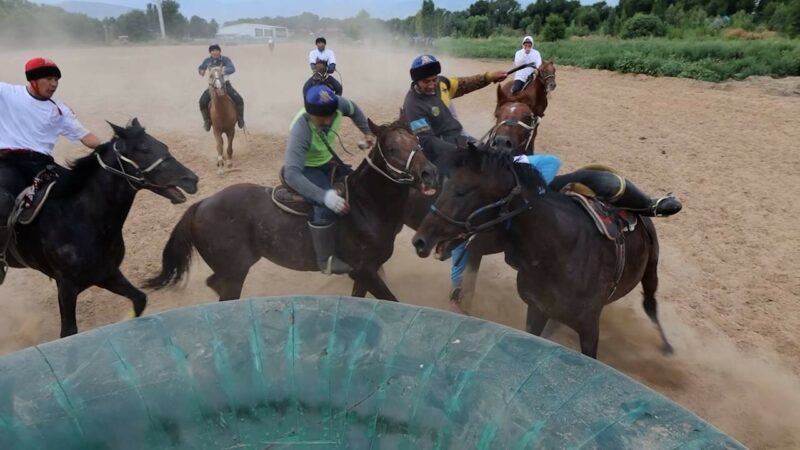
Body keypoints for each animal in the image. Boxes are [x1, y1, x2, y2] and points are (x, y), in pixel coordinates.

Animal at [2, 119, 198, 338]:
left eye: (163, 145)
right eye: (145, 148)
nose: (191, 180)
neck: (80, 220)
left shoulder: (107, 273)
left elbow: (139, 299)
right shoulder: (67, 287)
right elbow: (69, 332)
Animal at [147, 118, 440, 302]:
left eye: (417, 141)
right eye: (391, 148)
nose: (430, 173)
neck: (366, 205)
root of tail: (201, 205)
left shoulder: (366, 273)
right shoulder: (364, 271)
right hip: (234, 273)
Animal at [412, 144, 676, 358]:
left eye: (463, 191)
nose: (420, 240)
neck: (560, 251)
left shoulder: (590, 327)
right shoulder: (538, 310)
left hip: (651, 269)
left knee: (650, 303)